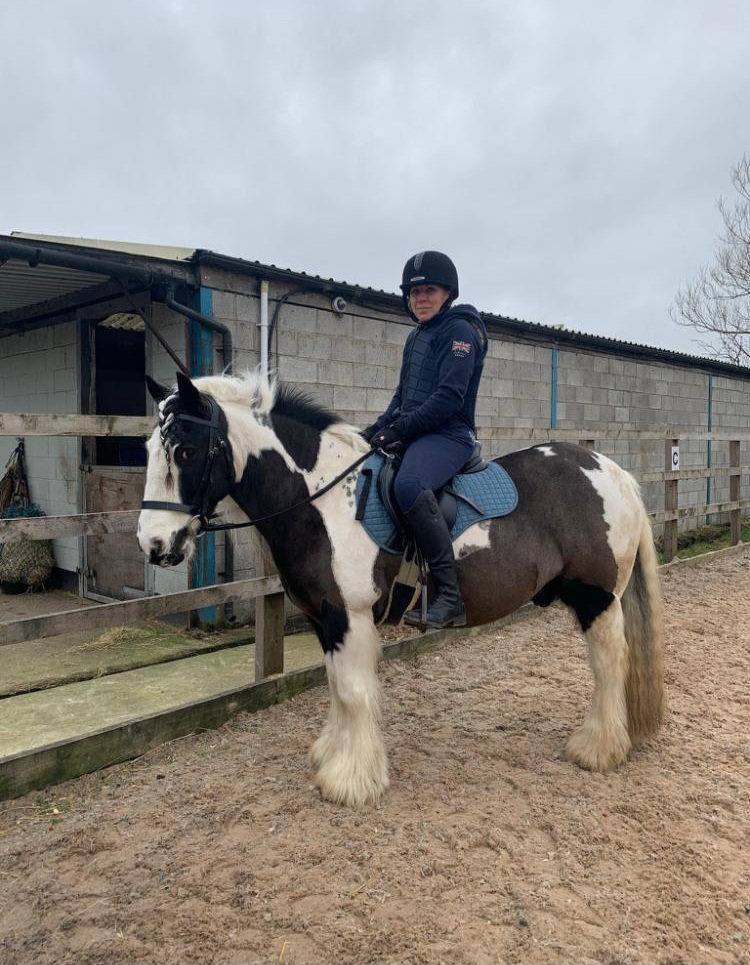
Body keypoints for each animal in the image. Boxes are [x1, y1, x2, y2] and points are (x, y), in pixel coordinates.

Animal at [140, 370, 664, 804]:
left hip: (597, 598)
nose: (154, 544)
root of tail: (611, 470)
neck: (322, 502)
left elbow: (353, 691)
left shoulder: (349, 616)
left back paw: (597, 748)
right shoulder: (325, 618)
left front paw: (351, 780)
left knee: (608, 662)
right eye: (148, 451)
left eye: (186, 451)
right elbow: (336, 686)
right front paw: (331, 755)